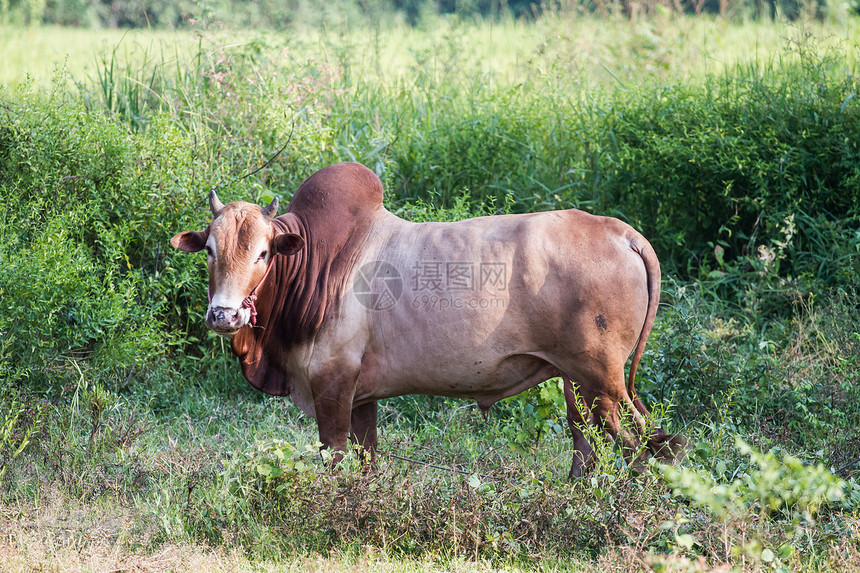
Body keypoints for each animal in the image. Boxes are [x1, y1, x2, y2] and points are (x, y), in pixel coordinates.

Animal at [171, 162, 684, 478]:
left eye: (263, 253)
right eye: (210, 249)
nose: (224, 313)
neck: (316, 263)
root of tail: (623, 233)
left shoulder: (332, 387)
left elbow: (335, 460)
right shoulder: (362, 396)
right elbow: (367, 462)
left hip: (602, 379)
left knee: (647, 441)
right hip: (576, 380)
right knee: (588, 443)